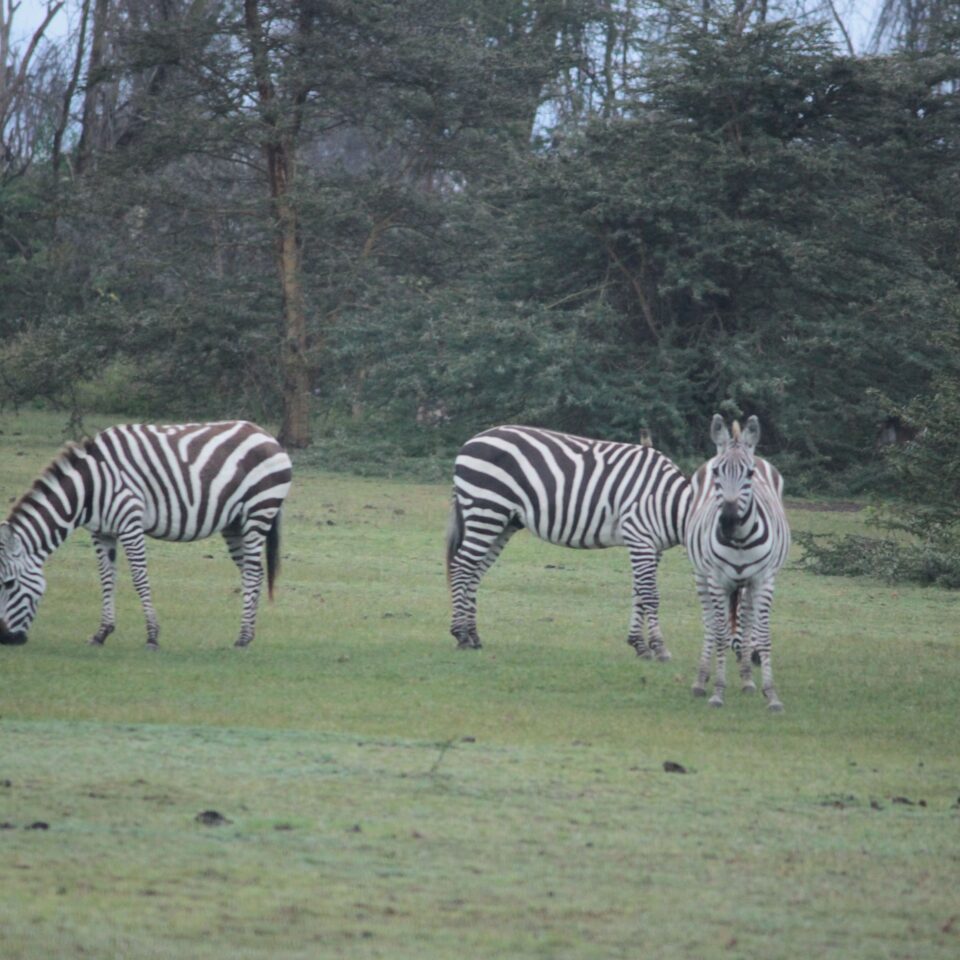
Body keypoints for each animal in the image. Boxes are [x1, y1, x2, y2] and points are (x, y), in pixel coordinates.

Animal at [0, 424, 292, 648]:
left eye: (9, 584)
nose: (6, 639)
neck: (90, 487)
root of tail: (265, 433)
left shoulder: (130, 523)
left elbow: (140, 578)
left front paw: (152, 636)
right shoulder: (101, 532)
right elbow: (106, 579)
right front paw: (102, 633)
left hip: (258, 510)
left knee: (252, 572)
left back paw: (242, 638)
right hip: (234, 523)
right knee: (253, 573)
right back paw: (249, 635)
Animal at [446, 428, 688, 660]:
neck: (669, 501)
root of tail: (470, 441)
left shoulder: (652, 547)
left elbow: (639, 594)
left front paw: (639, 645)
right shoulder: (640, 538)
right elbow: (649, 594)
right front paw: (659, 647)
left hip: (502, 523)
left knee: (474, 572)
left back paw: (473, 636)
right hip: (486, 510)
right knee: (461, 567)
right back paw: (461, 635)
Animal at [688, 416, 792, 708]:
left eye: (749, 474)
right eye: (716, 473)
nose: (728, 522)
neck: (740, 541)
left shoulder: (764, 580)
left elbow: (763, 634)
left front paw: (772, 695)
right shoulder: (717, 580)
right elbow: (721, 634)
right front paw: (717, 692)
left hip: (749, 583)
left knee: (745, 619)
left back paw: (747, 680)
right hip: (701, 575)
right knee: (710, 623)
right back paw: (701, 681)